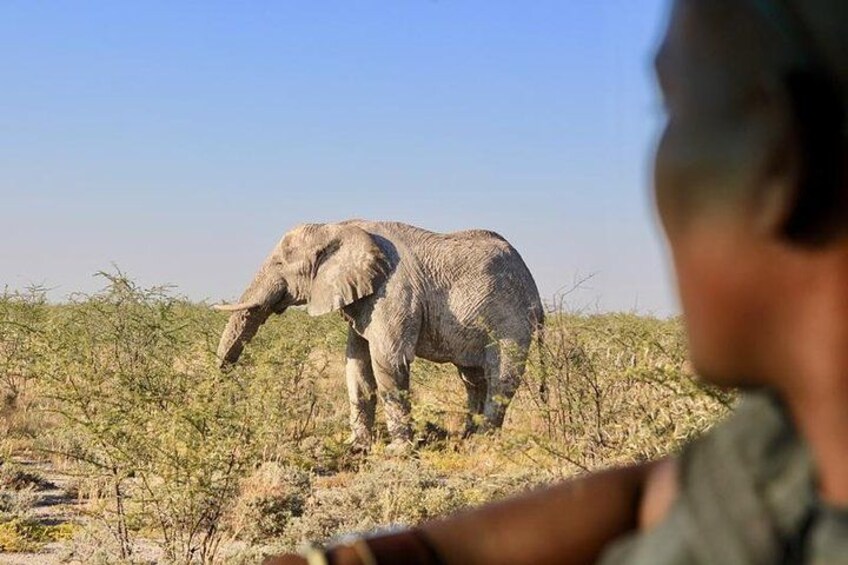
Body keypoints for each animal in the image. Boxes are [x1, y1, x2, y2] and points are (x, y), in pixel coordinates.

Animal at [214, 220, 544, 451]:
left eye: (280, 264)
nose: (221, 381)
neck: (340, 226)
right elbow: (356, 364)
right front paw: (357, 447)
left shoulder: (394, 292)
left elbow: (387, 361)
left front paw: (397, 451)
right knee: (472, 377)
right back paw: (465, 437)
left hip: (511, 320)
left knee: (501, 377)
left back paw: (482, 443)